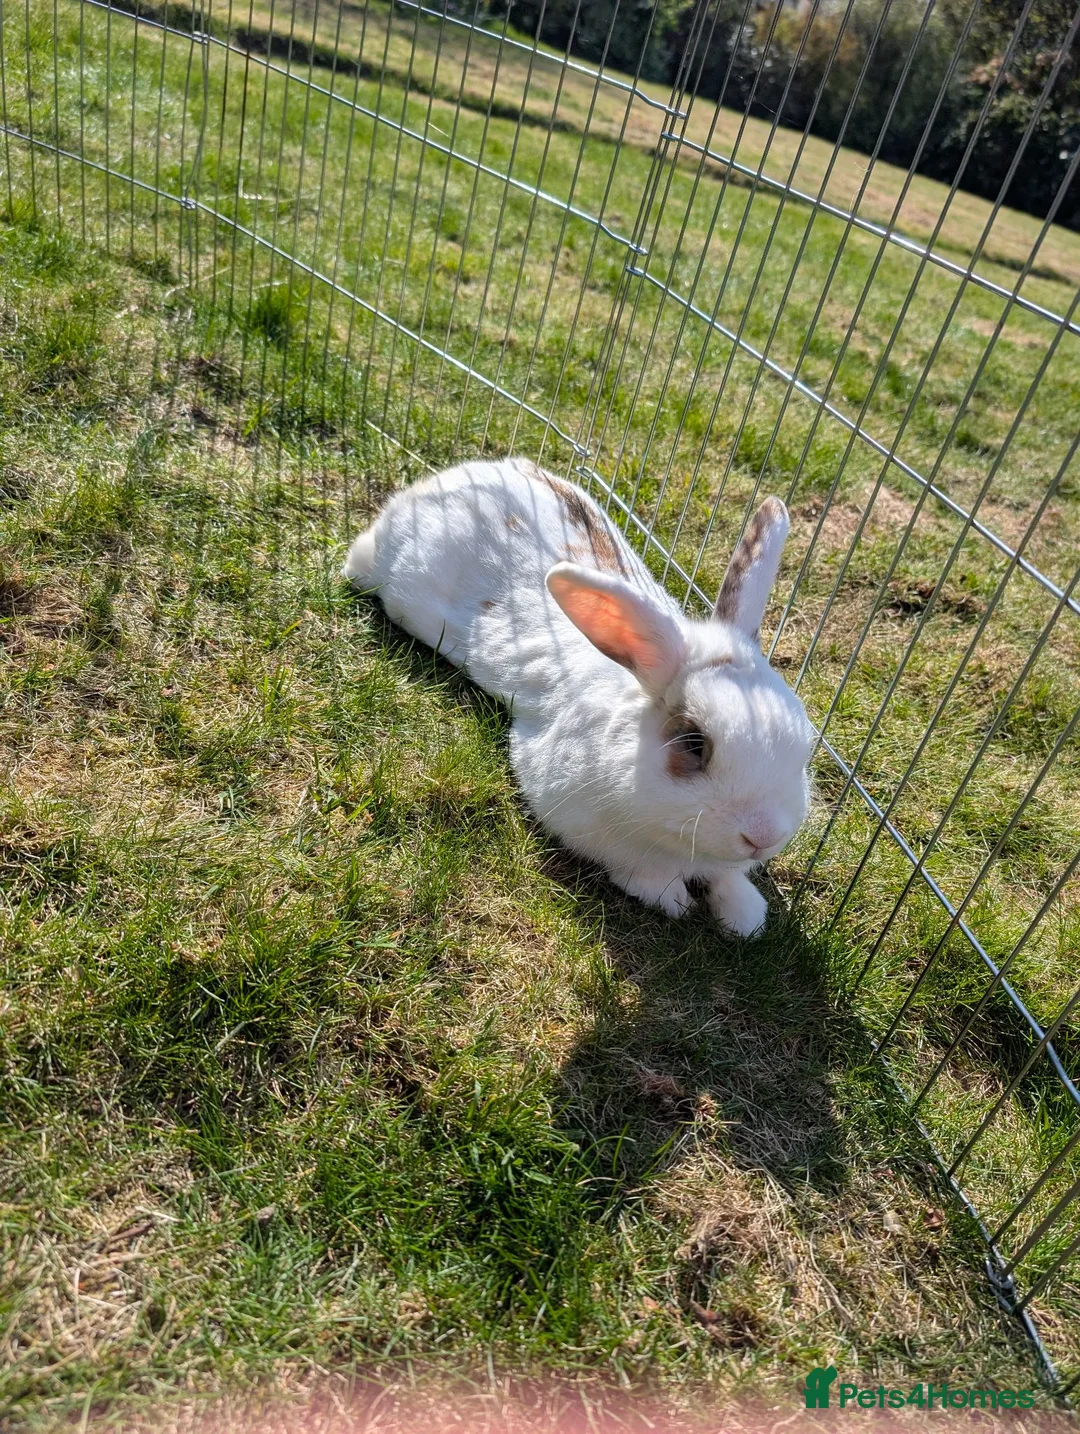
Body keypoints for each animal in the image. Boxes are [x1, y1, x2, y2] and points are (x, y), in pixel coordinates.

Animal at [343, 458, 814, 936]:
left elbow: (729, 880)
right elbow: (645, 874)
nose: (764, 837)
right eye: (694, 743)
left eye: (806, 746)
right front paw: (672, 899)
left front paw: (747, 918)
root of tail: (455, 477)